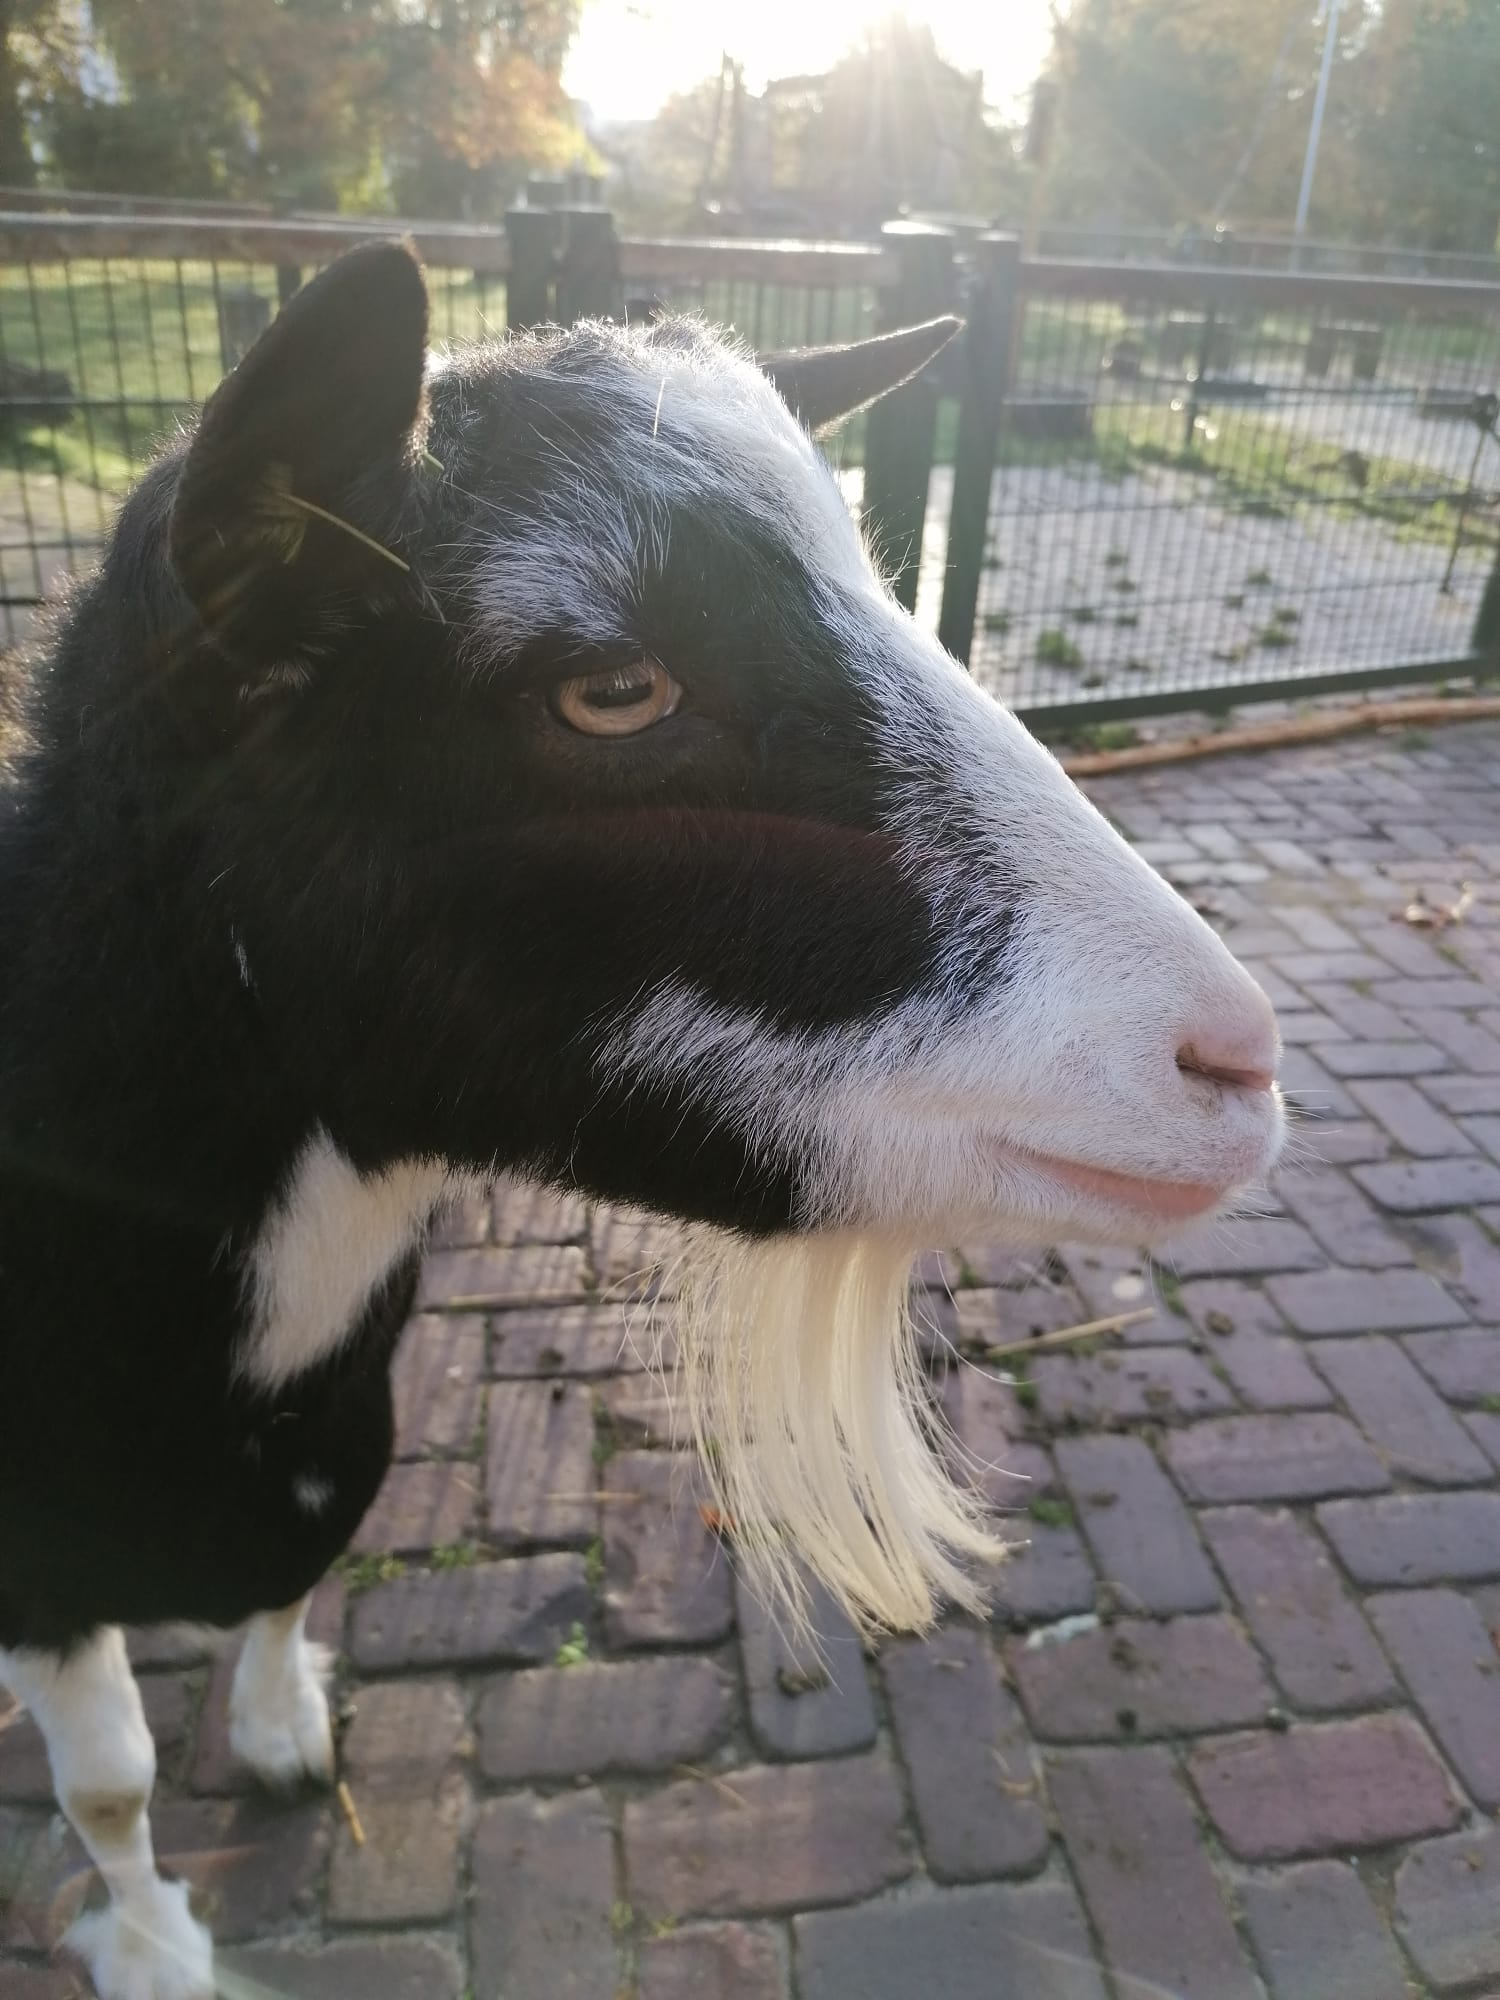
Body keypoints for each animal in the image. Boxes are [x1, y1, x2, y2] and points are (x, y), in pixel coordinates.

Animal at [0, 250, 1296, 2000]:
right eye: (613, 688)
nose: (1235, 1068)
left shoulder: (347, 1414)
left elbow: (297, 1573)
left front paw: (278, 1733)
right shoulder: (40, 1554)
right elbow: (111, 1782)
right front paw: (149, 1950)